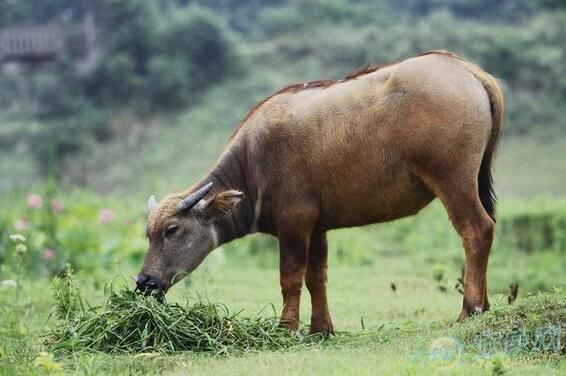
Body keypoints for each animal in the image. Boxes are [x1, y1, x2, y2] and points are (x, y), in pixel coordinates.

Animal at [138, 50, 506, 334]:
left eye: (172, 230)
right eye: (148, 234)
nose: (144, 282)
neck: (253, 163)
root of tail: (469, 71)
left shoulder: (294, 223)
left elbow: (290, 277)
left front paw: (286, 328)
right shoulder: (316, 229)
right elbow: (317, 278)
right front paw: (320, 329)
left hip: (453, 181)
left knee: (477, 230)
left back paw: (470, 309)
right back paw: (485, 306)